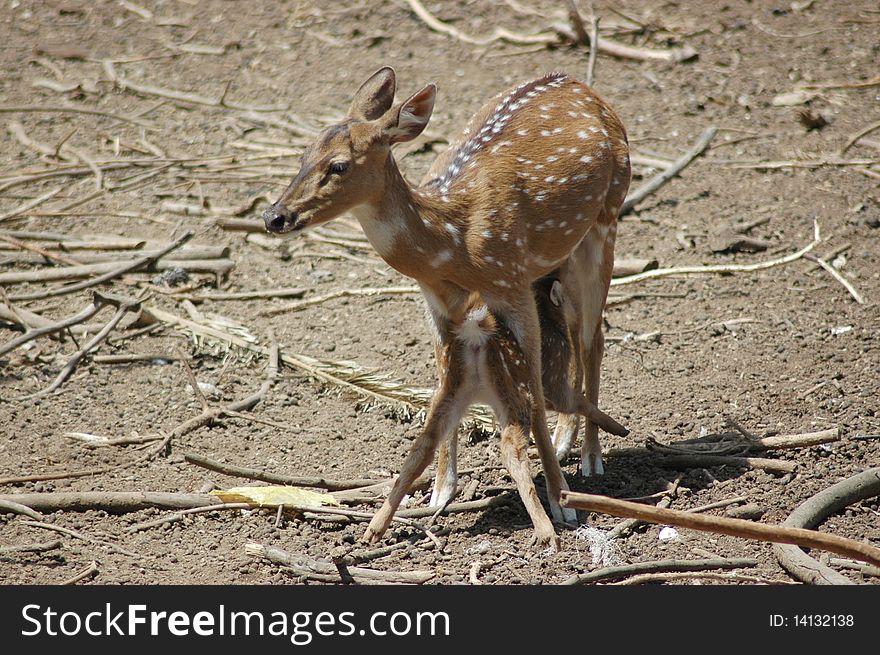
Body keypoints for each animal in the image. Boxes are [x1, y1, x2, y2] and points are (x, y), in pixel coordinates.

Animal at [264, 65, 628, 548]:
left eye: (338, 165)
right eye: (304, 155)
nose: (274, 216)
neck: (453, 245)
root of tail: (577, 82)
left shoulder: (510, 280)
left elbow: (531, 386)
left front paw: (560, 502)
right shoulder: (435, 302)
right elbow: (443, 379)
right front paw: (439, 489)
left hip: (607, 218)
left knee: (594, 336)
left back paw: (590, 457)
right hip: (560, 253)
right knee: (573, 327)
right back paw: (567, 439)